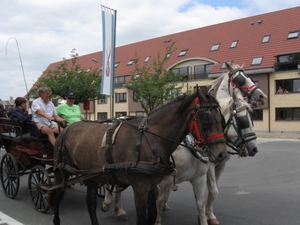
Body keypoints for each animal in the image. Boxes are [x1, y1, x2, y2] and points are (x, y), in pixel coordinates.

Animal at [49, 89, 227, 225]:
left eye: (222, 119)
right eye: (205, 118)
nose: (222, 154)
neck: (150, 139)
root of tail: (67, 128)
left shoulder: (152, 186)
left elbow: (153, 213)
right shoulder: (140, 187)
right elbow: (142, 219)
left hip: (91, 174)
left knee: (91, 203)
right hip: (61, 172)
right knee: (56, 196)